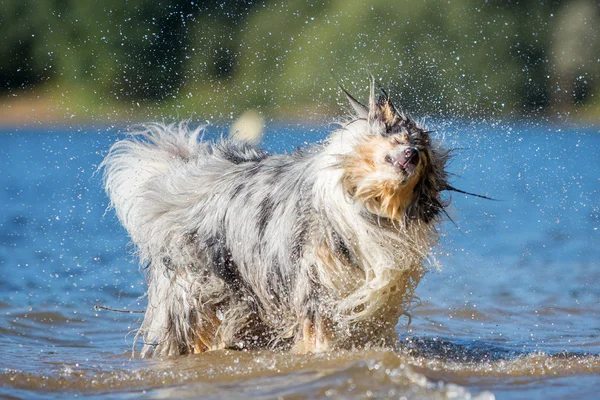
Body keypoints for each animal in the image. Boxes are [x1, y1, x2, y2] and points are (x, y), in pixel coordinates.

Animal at [102, 79, 454, 358]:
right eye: (396, 138)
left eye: (423, 154)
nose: (411, 154)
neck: (370, 205)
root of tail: (183, 177)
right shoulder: (314, 279)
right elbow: (318, 326)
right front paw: (320, 353)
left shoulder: (379, 293)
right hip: (199, 289)